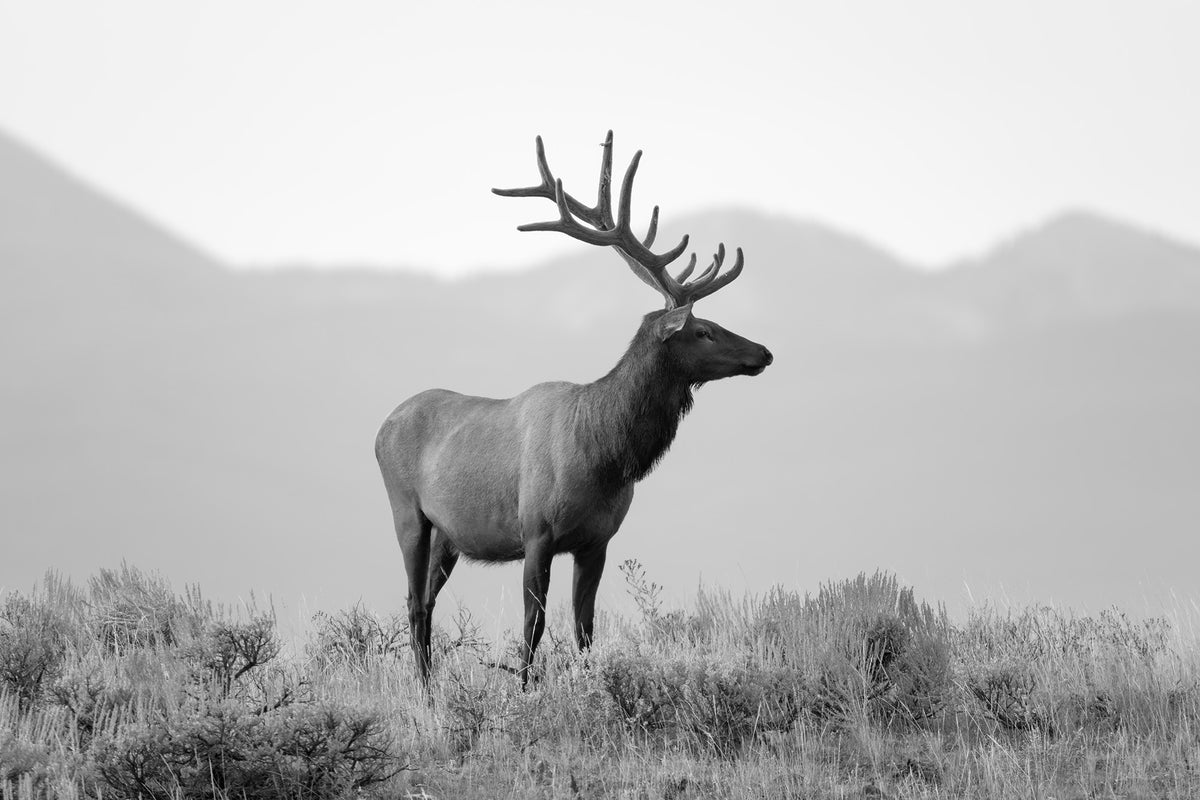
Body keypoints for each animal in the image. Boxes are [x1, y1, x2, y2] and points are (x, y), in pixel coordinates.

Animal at [375, 132, 772, 687]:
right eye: (703, 330)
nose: (764, 352)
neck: (603, 455)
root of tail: (379, 428)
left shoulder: (597, 541)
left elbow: (585, 628)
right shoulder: (536, 531)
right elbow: (533, 624)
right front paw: (523, 690)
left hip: (448, 535)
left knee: (427, 601)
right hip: (406, 510)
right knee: (414, 602)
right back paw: (426, 691)